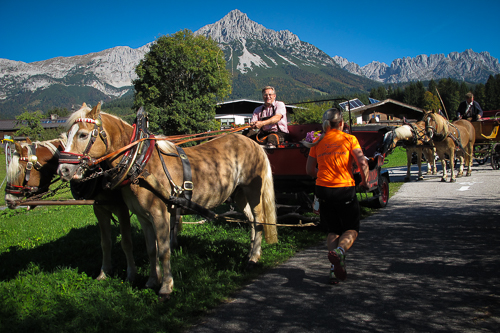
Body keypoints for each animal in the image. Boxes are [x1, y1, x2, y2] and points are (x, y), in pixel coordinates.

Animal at [4, 132, 137, 280]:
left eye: (19, 171)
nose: (8, 200)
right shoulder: (99, 209)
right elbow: (105, 242)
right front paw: (104, 272)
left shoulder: (122, 208)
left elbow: (126, 243)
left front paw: (131, 273)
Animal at [56, 102, 280, 296]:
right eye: (66, 135)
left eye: (83, 135)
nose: (63, 170)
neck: (140, 162)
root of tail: (253, 143)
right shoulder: (143, 217)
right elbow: (151, 250)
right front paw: (151, 281)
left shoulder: (159, 214)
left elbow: (163, 250)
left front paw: (166, 287)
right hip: (239, 194)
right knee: (250, 220)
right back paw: (251, 251)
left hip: (253, 191)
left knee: (259, 220)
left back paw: (253, 258)